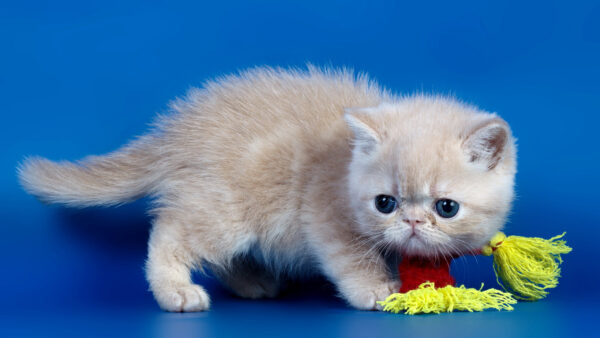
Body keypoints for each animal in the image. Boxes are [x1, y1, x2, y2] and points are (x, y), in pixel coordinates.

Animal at [17, 66, 516, 312]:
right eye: (385, 203)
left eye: (446, 207)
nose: (412, 221)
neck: (343, 163)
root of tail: (176, 132)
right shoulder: (323, 210)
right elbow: (350, 255)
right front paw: (376, 288)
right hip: (227, 209)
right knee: (171, 232)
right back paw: (176, 292)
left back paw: (251, 282)